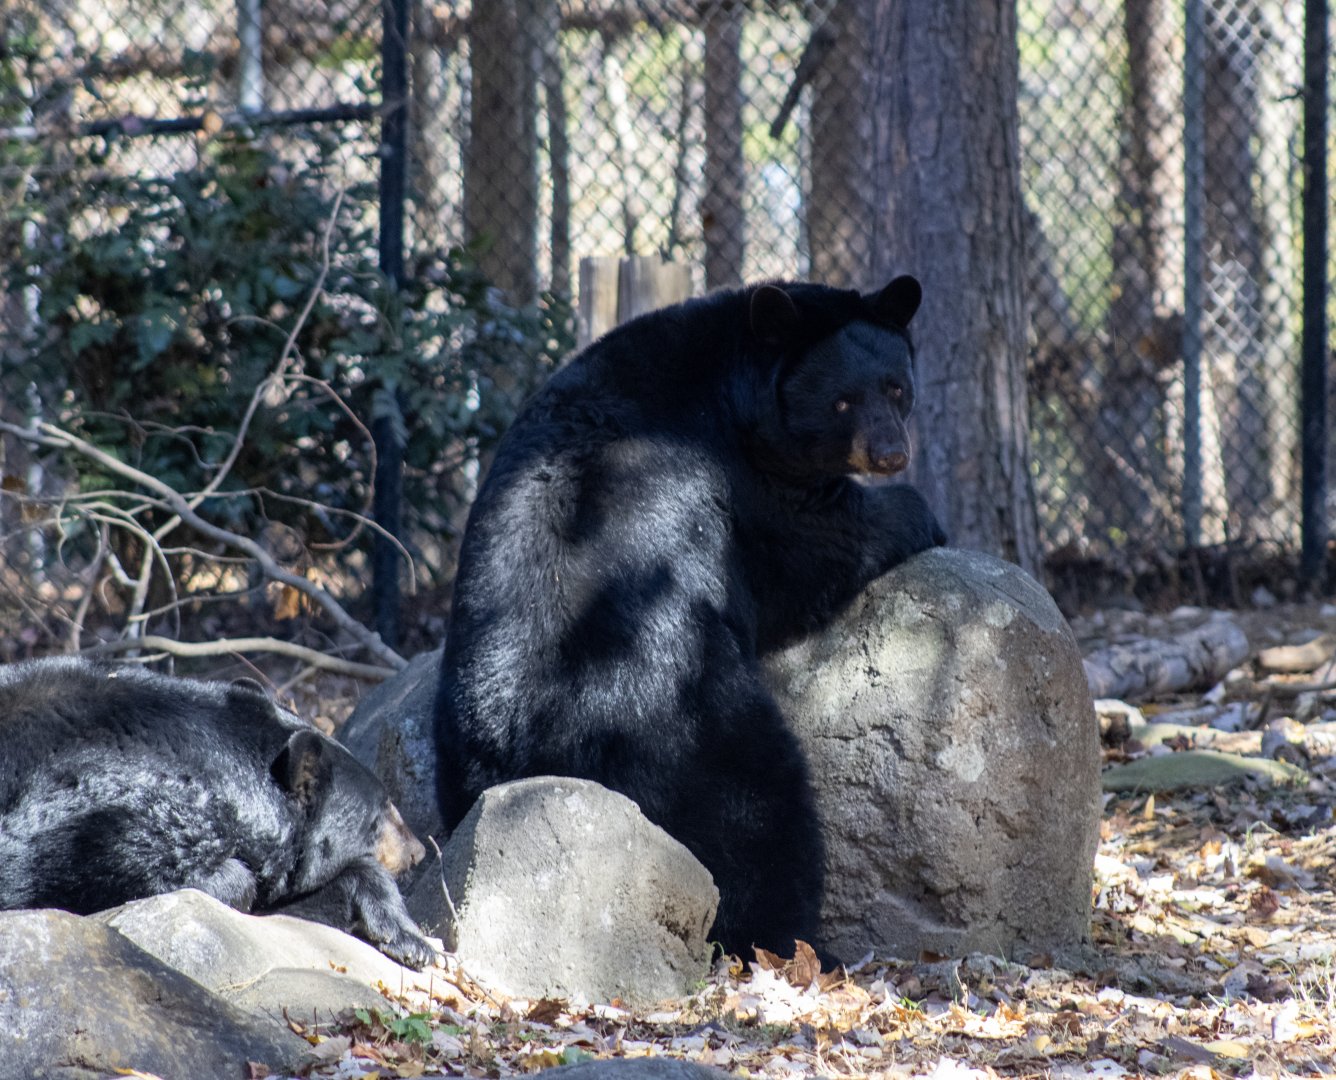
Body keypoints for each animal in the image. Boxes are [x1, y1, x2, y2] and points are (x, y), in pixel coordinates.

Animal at [435, 276, 945, 958]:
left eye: (895, 387)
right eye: (841, 402)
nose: (890, 453)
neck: (731, 381)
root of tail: (539, 757)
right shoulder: (746, 489)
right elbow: (811, 550)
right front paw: (918, 513)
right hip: (694, 725)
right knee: (760, 815)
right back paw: (795, 940)